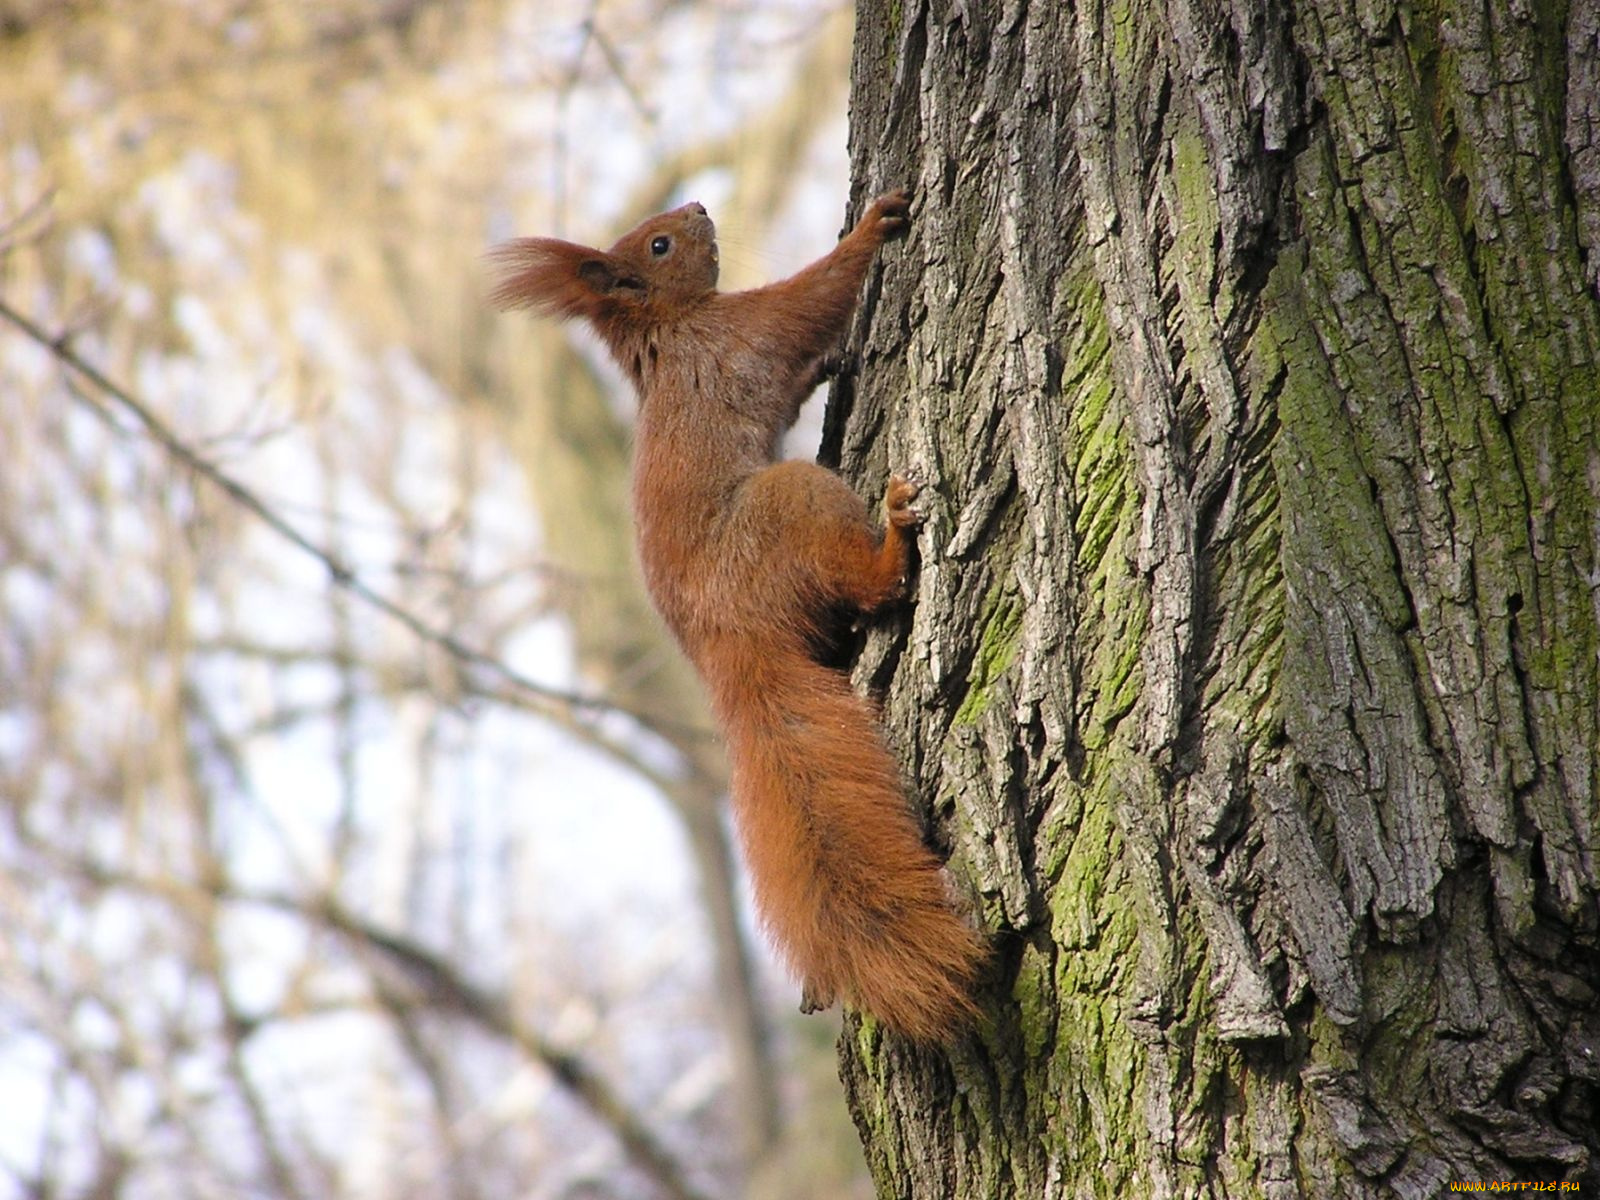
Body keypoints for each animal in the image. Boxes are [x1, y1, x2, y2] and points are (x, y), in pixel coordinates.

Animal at [489, 188, 985, 1043]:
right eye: (658, 245)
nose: (697, 204)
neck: (668, 330)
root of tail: (731, 644)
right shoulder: (741, 332)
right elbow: (808, 301)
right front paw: (870, 230)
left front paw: (829, 364)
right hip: (790, 505)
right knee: (872, 587)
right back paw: (894, 539)